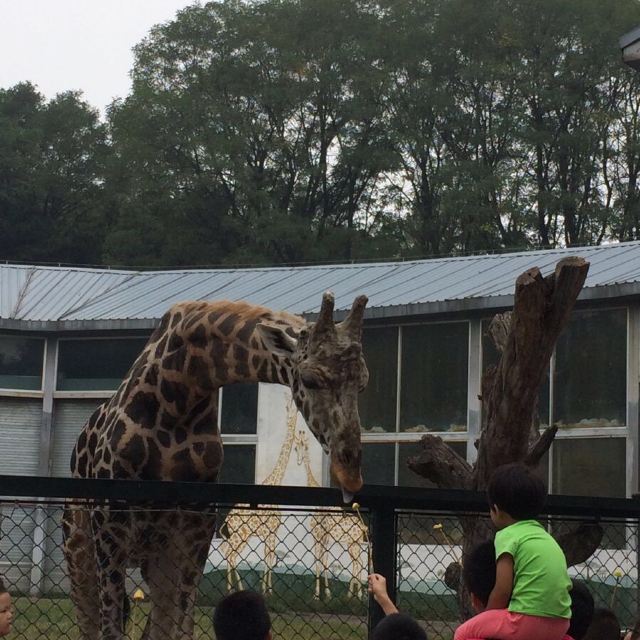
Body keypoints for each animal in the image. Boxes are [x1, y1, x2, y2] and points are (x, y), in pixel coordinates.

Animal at [220, 396, 300, 596]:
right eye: (290, 408)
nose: (293, 418)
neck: (275, 481)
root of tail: (228, 519)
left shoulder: (270, 532)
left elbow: (267, 556)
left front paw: (267, 589)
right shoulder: (272, 530)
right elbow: (269, 558)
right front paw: (268, 591)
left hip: (238, 536)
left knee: (226, 550)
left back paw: (230, 588)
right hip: (241, 535)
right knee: (231, 554)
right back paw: (237, 589)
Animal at [294, 430, 368, 600]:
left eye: (304, 446)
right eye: (296, 447)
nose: (299, 461)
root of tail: (362, 526)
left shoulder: (325, 535)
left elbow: (324, 562)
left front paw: (325, 593)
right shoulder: (316, 536)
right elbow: (317, 562)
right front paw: (318, 594)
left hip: (355, 542)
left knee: (359, 563)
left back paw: (358, 595)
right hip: (352, 543)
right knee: (357, 563)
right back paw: (351, 595)